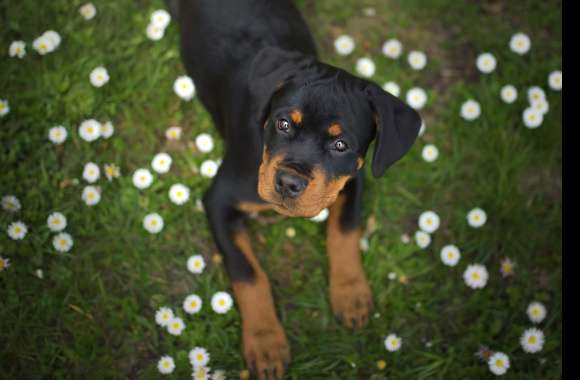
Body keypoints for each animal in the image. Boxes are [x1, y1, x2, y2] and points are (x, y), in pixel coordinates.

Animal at [168, 1, 422, 378]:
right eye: (283, 123)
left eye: (341, 145)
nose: (288, 183)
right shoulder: (219, 200)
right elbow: (248, 273)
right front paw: (266, 343)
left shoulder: (352, 181)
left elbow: (345, 231)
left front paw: (351, 294)